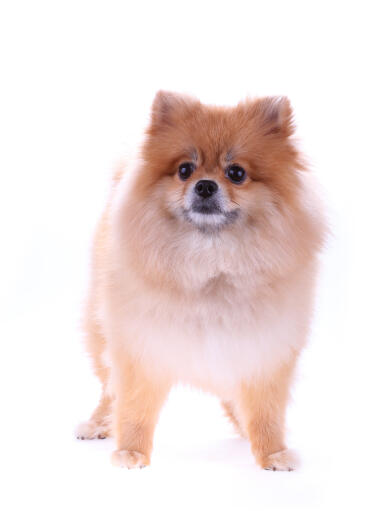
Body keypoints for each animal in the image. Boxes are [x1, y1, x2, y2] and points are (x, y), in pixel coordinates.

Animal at [76, 91, 324, 472]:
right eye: (184, 170)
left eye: (236, 173)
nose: (205, 185)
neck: (211, 263)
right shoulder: (141, 345)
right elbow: (134, 406)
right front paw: (132, 451)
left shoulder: (265, 348)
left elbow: (266, 412)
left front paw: (271, 452)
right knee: (109, 390)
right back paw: (99, 423)